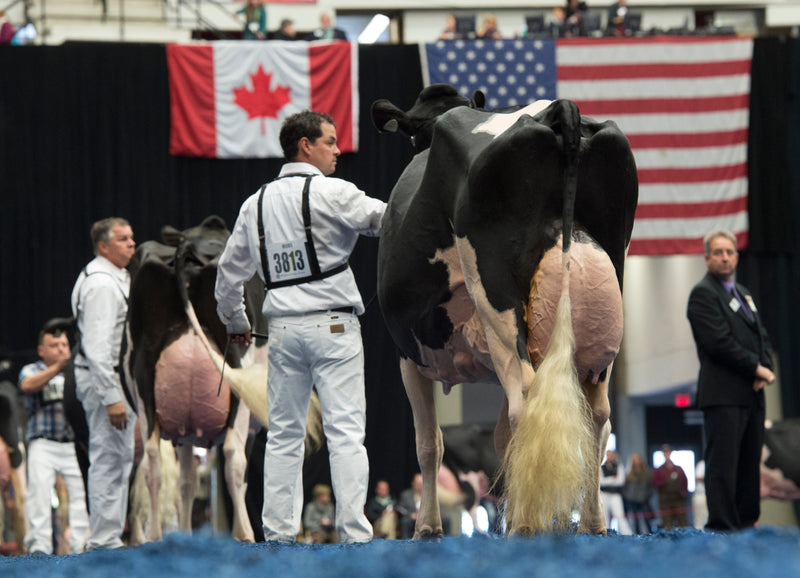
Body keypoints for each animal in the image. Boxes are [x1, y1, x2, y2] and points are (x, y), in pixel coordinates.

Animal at [125, 215, 323, 543]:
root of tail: (189, 245)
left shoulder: (186, 432)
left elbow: (187, 482)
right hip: (236, 378)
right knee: (233, 458)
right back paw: (244, 534)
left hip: (144, 374)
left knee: (152, 460)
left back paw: (154, 535)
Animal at [371, 84, 638, 536]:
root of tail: (560, 110)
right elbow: (499, 440)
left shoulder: (407, 353)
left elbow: (429, 443)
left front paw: (427, 527)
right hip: (608, 284)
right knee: (596, 413)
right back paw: (591, 522)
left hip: (496, 298)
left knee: (527, 398)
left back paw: (525, 526)